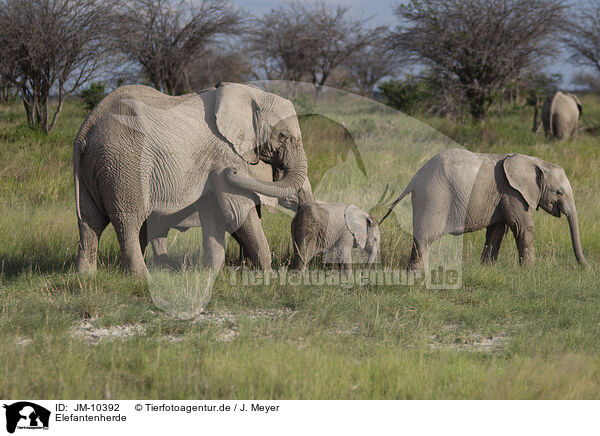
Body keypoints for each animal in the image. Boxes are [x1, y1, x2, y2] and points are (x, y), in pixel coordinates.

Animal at [74, 82, 308, 276]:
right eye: (283, 136)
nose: (232, 172)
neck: (250, 93)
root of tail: (86, 130)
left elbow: (214, 211)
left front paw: (212, 274)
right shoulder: (224, 153)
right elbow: (237, 210)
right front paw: (269, 276)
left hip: (96, 167)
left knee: (89, 219)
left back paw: (86, 276)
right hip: (125, 165)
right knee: (128, 221)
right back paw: (141, 278)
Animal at [382, 149, 588, 270]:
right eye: (559, 192)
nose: (586, 268)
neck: (536, 161)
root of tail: (415, 178)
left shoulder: (501, 196)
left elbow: (497, 230)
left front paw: (487, 268)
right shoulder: (512, 192)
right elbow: (523, 226)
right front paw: (529, 270)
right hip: (434, 196)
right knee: (425, 237)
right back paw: (419, 273)